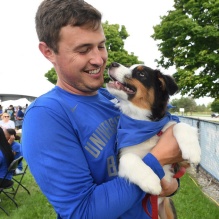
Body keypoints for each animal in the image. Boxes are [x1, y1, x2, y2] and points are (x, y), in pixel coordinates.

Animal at [107, 62, 201, 219]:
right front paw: (151, 181)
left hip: (168, 206)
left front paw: (193, 151)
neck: (142, 123)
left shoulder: (181, 164)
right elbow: (129, 158)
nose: (111, 63)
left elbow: (179, 125)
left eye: (141, 74)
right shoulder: (121, 158)